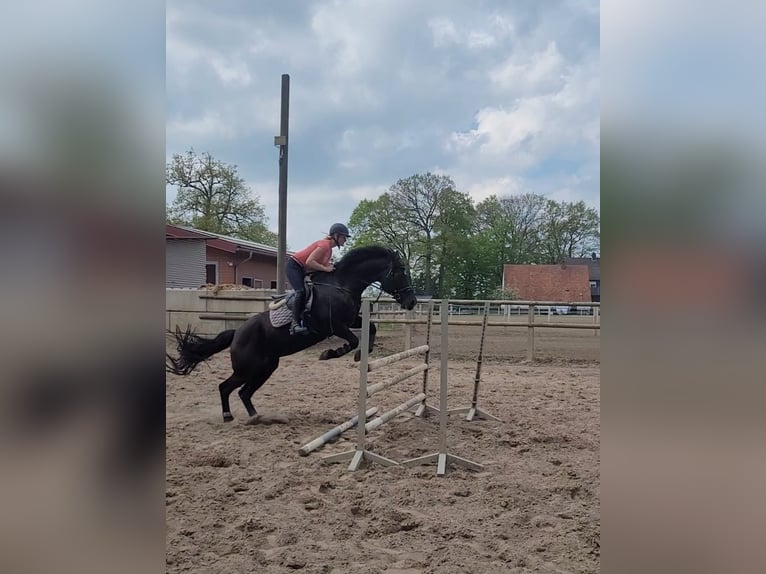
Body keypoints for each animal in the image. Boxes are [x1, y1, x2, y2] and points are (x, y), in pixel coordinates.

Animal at [168, 246, 420, 424]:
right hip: (247, 369)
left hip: (266, 367)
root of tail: (237, 332)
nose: (412, 302)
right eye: (399, 272)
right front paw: (331, 353)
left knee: (244, 392)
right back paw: (229, 416)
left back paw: (256, 417)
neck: (342, 285)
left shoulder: (350, 321)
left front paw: (362, 354)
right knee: (226, 387)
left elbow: (372, 329)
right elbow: (352, 340)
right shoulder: (334, 326)